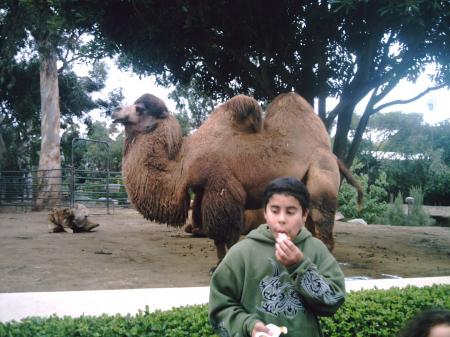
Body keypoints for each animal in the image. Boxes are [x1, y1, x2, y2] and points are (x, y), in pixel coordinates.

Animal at [111, 92, 362, 266]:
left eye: (140, 108)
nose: (115, 110)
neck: (182, 161)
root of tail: (334, 156)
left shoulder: (222, 188)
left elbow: (227, 235)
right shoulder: (204, 191)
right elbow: (215, 236)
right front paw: (217, 266)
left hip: (321, 176)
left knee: (323, 224)